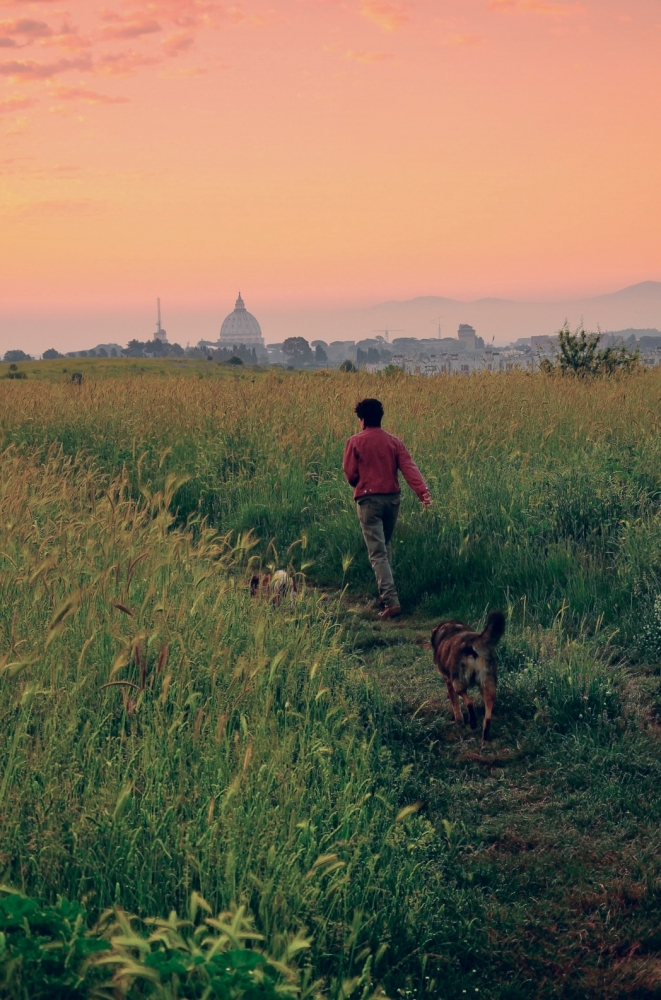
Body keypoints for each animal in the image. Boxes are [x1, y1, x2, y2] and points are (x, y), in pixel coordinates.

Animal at [434, 608, 506, 744]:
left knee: (469, 702)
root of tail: (473, 641)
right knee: (487, 715)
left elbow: (455, 704)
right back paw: (484, 736)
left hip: (458, 682)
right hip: (488, 685)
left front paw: (458, 720)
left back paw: (472, 722)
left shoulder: (448, 680)